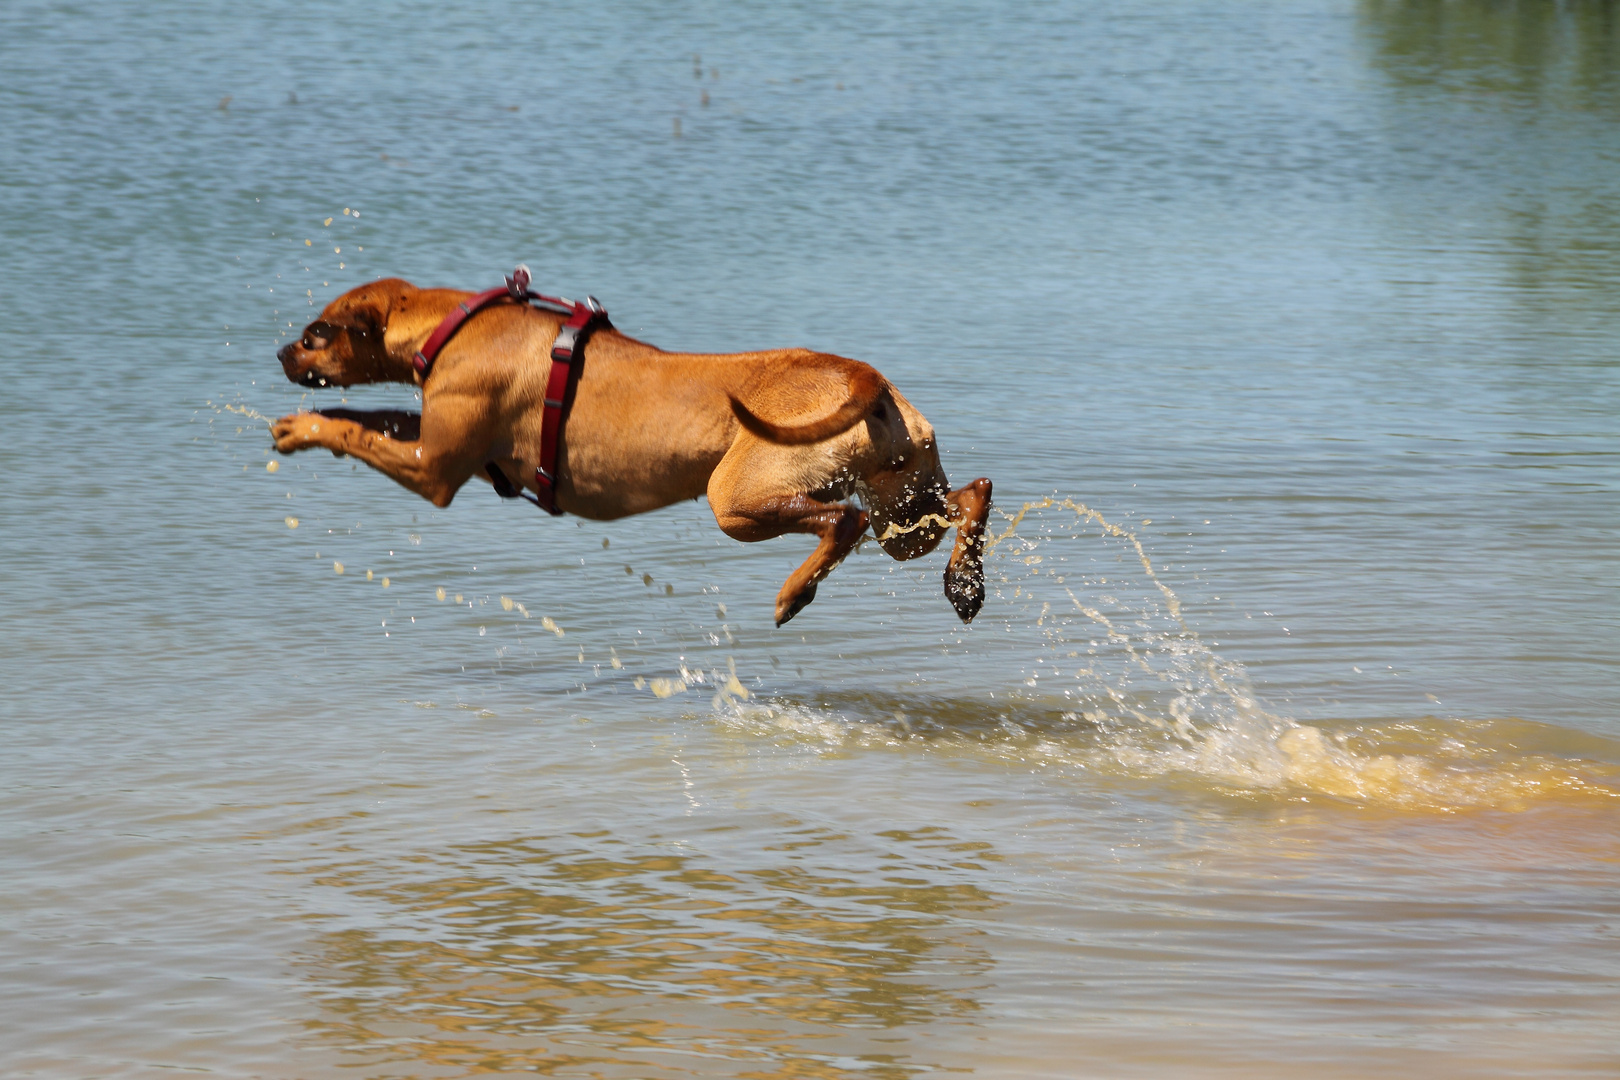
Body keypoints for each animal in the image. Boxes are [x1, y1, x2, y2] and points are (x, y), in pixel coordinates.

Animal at [272, 276, 991, 625]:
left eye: (314, 334)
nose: (279, 353)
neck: (450, 322)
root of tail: (859, 374)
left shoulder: (434, 471)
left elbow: (359, 433)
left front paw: (305, 431)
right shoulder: (438, 439)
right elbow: (374, 418)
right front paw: (314, 418)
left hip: (738, 499)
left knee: (843, 521)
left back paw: (795, 592)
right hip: (904, 504)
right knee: (970, 495)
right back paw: (964, 583)